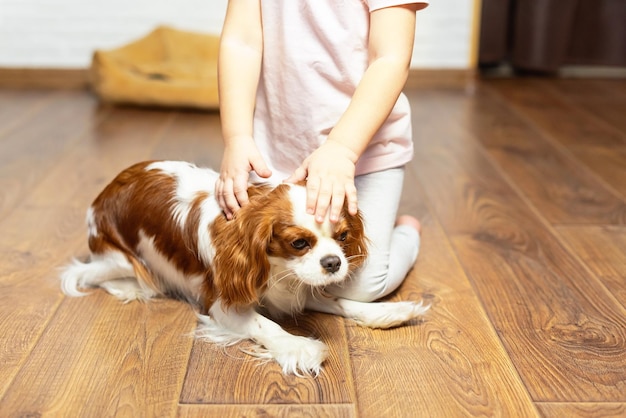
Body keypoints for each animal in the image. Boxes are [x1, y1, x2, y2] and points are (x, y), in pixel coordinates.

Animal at [59, 160, 428, 376]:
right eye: (299, 243)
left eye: (342, 236)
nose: (334, 262)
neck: (275, 266)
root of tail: (106, 190)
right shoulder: (221, 303)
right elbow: (265, 325)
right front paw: (299, 346)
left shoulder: (290, 283)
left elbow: (338, 301)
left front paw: (385, 312)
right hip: (119, 259)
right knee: (88, 273)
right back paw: (131, 286)